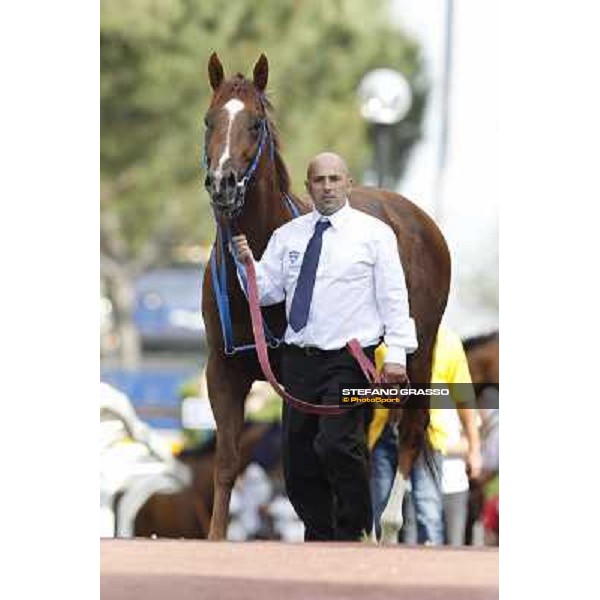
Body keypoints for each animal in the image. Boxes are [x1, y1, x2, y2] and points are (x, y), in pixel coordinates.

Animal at [202, 52, 450, 540]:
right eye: (209, 120)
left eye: (255, 123)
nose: (223, 183)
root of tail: (419, 220)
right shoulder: (222, 370)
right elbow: (227, 463)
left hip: (417, 353)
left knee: (409, 431)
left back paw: (386, 527)